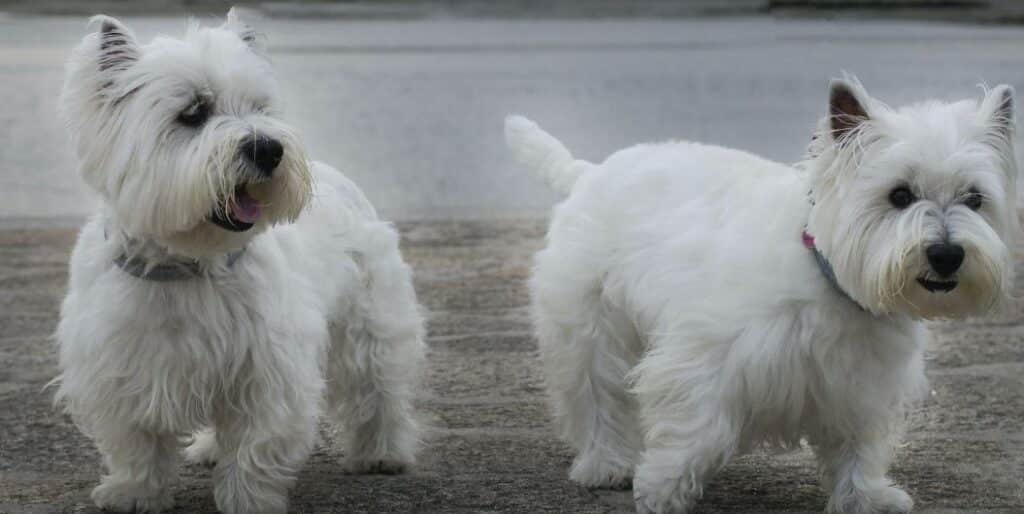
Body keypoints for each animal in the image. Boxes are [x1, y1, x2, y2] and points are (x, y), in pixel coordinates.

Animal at [50, 9, 428, 514]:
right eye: (193, 112)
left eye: (259, 107)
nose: (268, 149)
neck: (187, 262)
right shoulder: (122, 368)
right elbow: (137, 442)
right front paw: (132, 493)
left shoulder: (266, 372)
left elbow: (255, 447)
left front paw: (247, 499)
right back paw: (210, 449)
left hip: (370, 324)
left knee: (379, 391)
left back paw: (382, 454)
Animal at [507, 77, 1019, 514]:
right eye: (899, 195)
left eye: (975, 198)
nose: (947, 255)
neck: (825, 274)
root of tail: (587, 173)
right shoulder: (706, 358)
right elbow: (698, 428)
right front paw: (662, 489)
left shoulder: (862, 384)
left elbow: (859, 445)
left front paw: (866, 498)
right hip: (587, 327)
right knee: (597, 396)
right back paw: (606, 466)